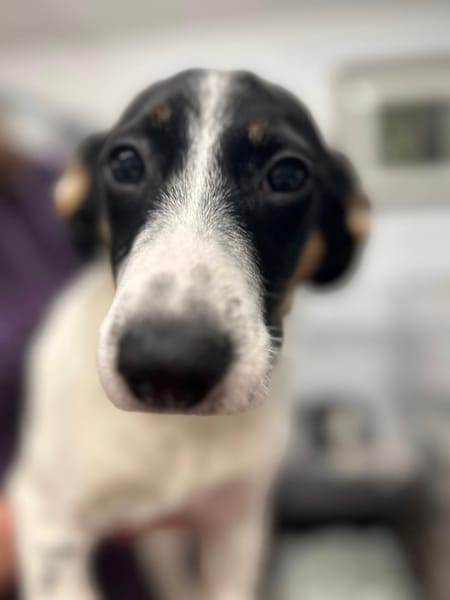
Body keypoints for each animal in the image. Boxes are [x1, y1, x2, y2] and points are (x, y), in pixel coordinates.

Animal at [8, 69, 369, 600]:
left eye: (288, 175)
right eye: (125, 162)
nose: (168, 364)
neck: (176, 434)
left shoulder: (236, 528)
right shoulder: (47, 522)